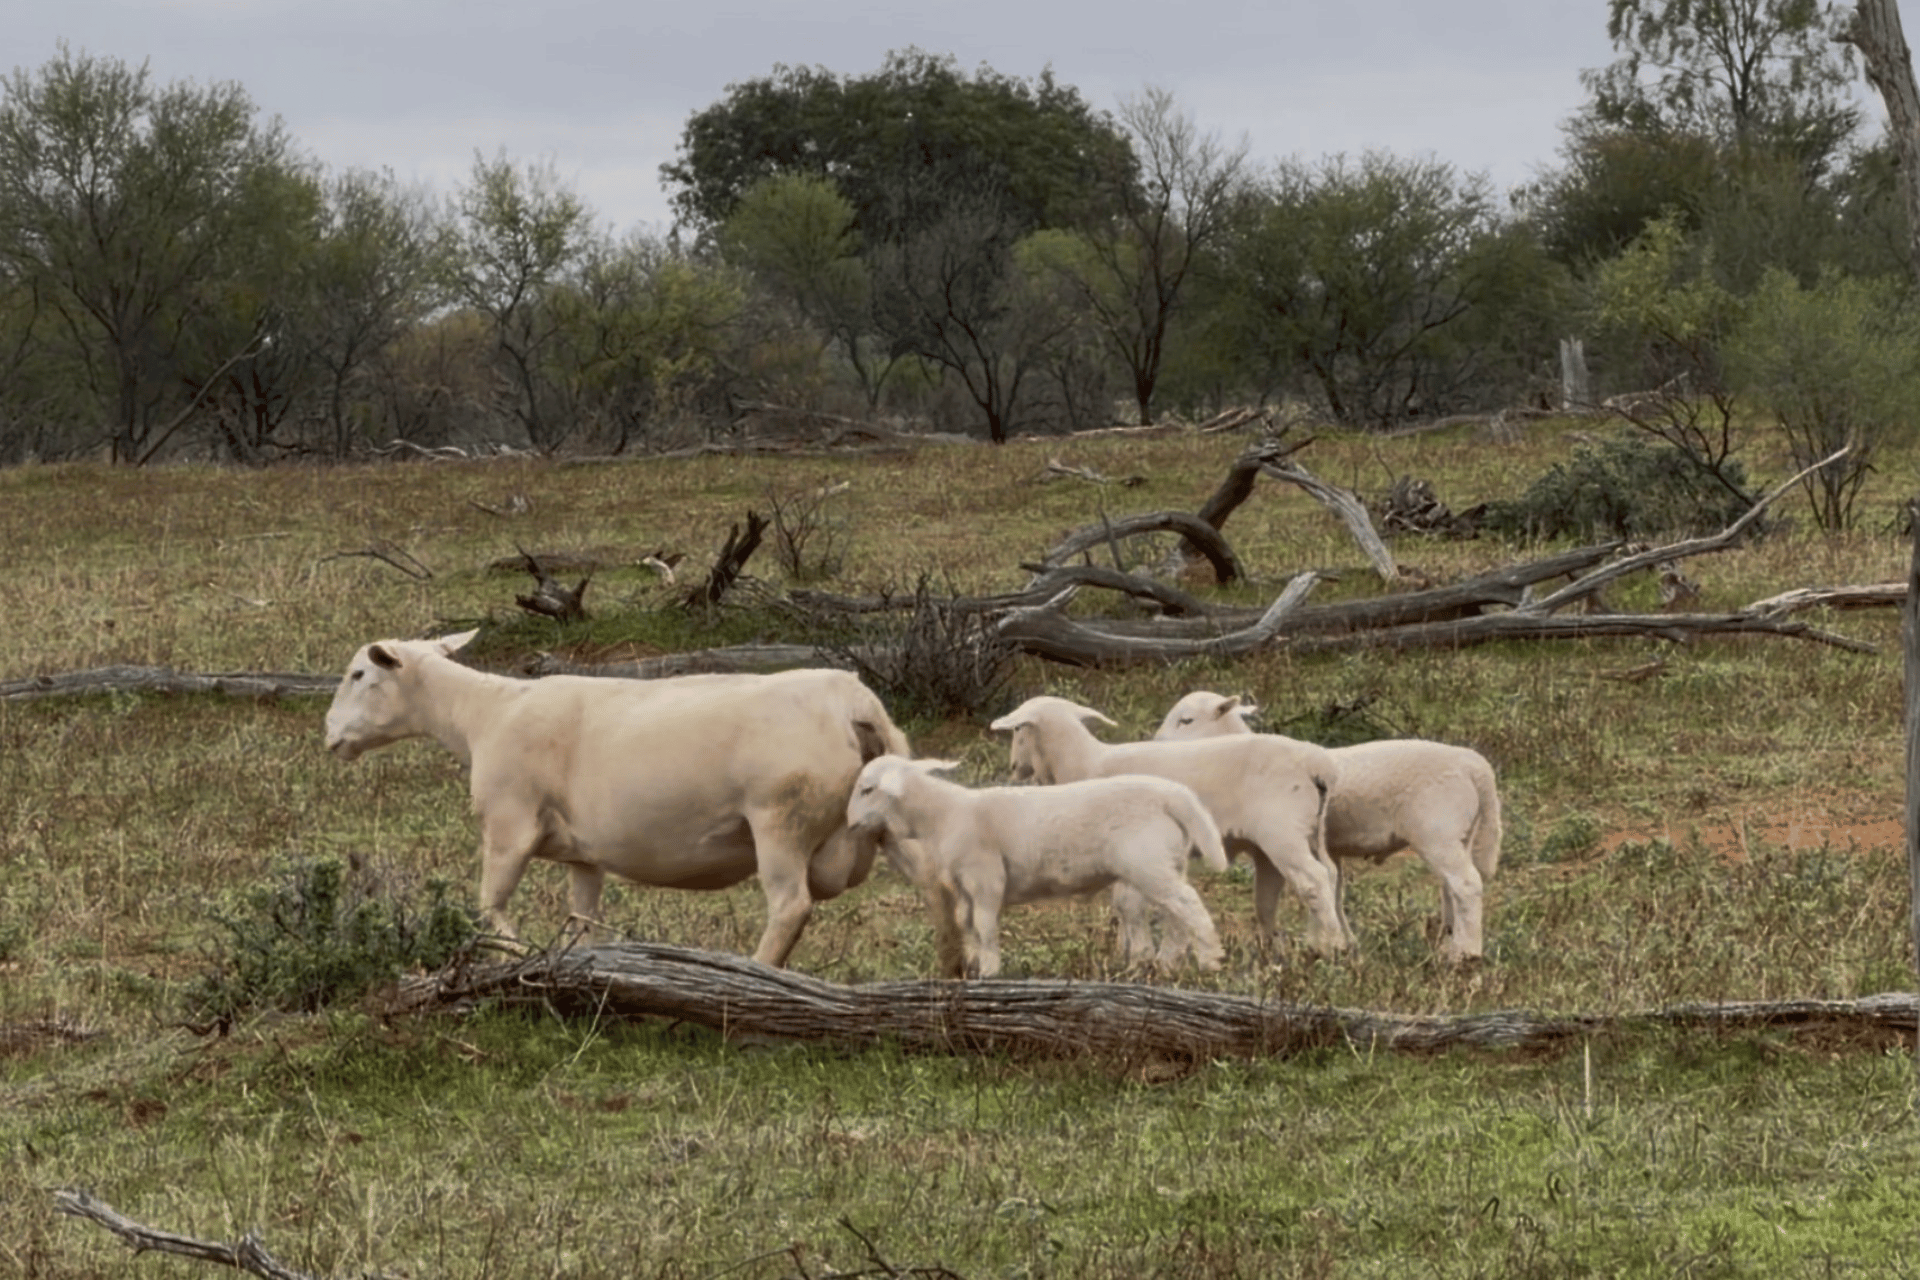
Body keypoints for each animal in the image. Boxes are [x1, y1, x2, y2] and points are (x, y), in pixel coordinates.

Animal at [322, 629, 909, 966]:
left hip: (779, 821)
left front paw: (522, 958)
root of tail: (856, 706)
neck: (481, 714)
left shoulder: (509, 826)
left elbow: (488, 908)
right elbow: (583, 922)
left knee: (789, 907)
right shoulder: (584, 856)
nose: (329, 735)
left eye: (358, 674)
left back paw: (758, 972)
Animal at [846, 754, 1227, 977]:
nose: (849, 824)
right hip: (1166, 861)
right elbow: (967, 924)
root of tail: (1174, 796)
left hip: (1148, 863)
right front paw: (974, 964)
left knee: (1187, 903)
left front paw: (990, 971)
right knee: (1175, 913)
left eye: (867, 789)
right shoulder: (963, 885)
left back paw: (1211, 960)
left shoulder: (985, 876)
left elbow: (985, 925)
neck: (944, 813)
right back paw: (1166, 963)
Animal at [987, 695, 1351, 958]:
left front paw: (1141, 957)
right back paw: (1320, 942)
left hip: (1282, 831)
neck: (1085, 763)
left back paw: (1331, 946)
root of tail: (1319, 765)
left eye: (1018, 730)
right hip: (1308, 831)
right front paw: (1135, 953)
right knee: (1326, 876)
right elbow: (1131, 905)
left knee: (1313, 880)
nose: (1013, 767)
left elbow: (1131, 905)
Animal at [1155, 691, 1502, 962]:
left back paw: (1465, 953)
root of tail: (1476, 766)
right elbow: (1333, 891)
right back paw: (1449, 943)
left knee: (1466, 884)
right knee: (1452, 888)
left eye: (1186, 720)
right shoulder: (1329, 846)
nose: (1156, 742)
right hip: (1458, 834)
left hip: (1436, 832)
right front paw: (1340, 941)